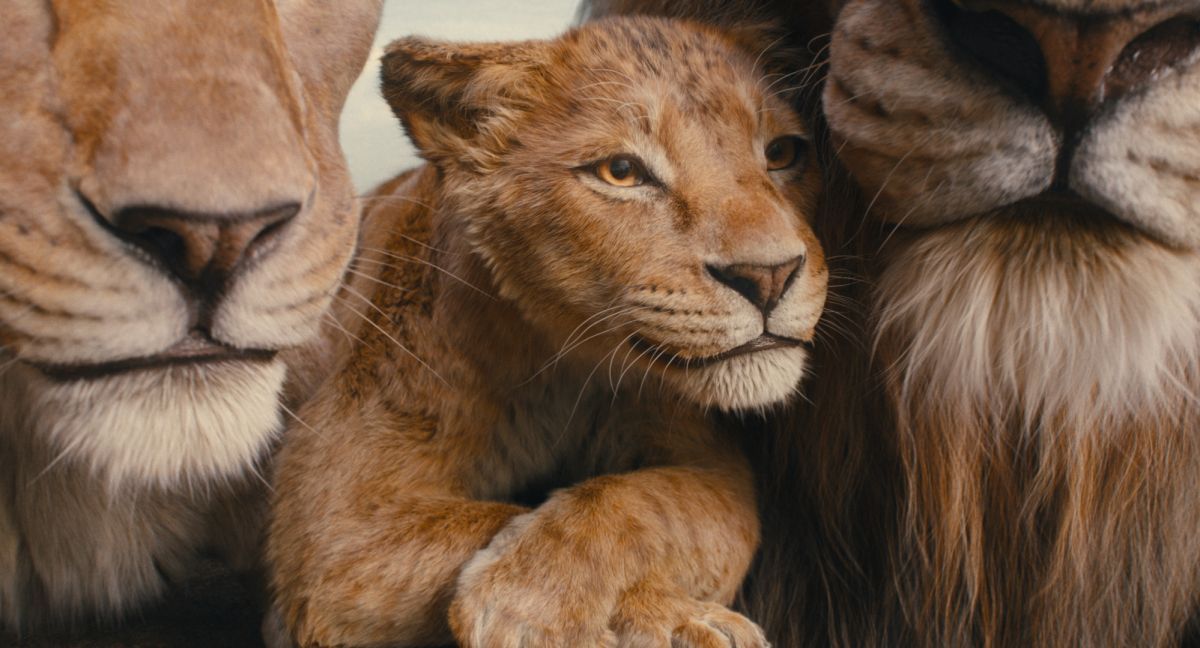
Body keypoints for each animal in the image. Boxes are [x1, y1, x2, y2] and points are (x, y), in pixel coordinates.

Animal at [266, 16, 828, 648]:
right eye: (621, 172)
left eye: (782, 152)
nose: (769, 276)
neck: (563, 365)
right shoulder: (335, 521)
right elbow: (484, 519)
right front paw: (551, 609)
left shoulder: (710, 463)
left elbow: (659, 504)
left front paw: (535, 594)